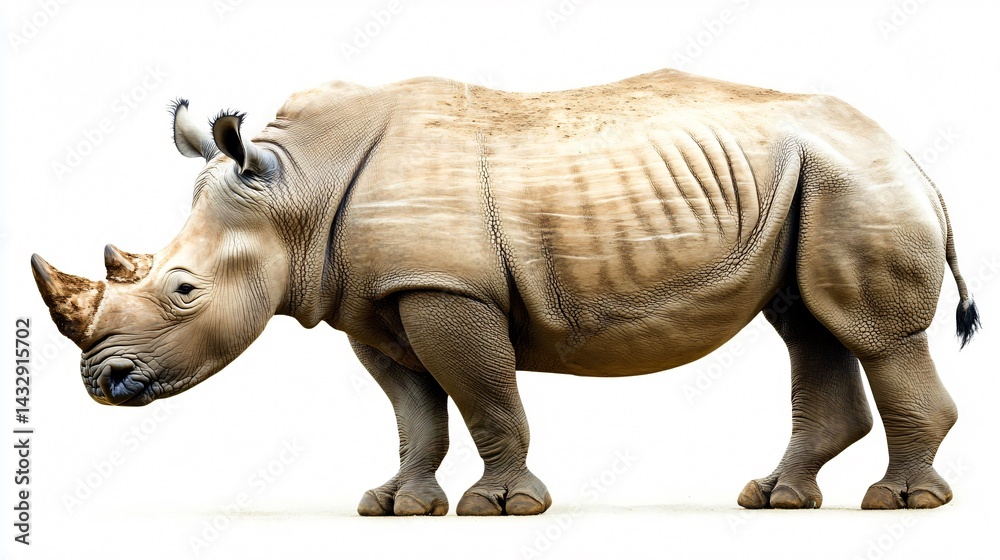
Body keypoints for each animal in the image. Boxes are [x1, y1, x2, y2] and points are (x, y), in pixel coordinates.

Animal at [32, 68, 979, 515]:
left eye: (183, 289)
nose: (102, 384)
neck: (295, 191)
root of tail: (913, 155)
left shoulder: (448, 289)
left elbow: (485, 396)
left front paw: (502, 508)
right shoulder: (374, 301)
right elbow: (415, 412)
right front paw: (395, 508)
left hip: (855, 181)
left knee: (871, 332)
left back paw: (900, 504)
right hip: (819, 182)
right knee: (809, 323)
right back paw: (775, 501)